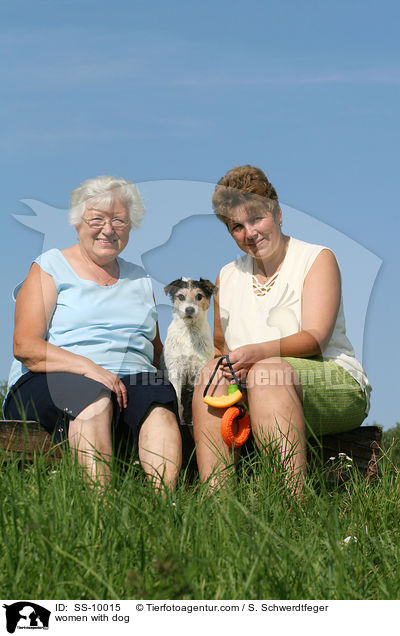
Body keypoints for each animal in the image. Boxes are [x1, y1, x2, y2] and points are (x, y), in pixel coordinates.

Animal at [163, 278, 217, 428]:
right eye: (181, 296)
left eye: (199, 296)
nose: (189, 309)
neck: (189, 331)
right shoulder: (175, 369)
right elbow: (176, 396)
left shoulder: (200, 368)